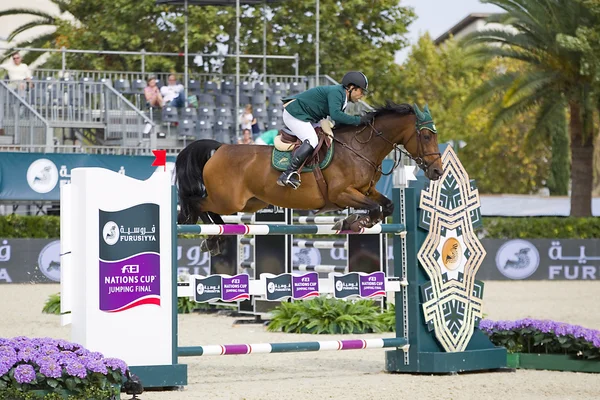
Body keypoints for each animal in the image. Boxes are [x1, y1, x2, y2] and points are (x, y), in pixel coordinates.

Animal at [176, 101, 442, 255]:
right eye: (426, 136)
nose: (437, 172)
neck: (361, 148)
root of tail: (220, 147)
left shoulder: (366, 191)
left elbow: (386, 206)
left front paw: (352, 222)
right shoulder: (342, 194)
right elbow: (375, 208)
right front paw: (354, 222)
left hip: (250, 202)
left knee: (209, 210)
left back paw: (216, 237)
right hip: (229, 200)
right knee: (197, 203)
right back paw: (211, 238)